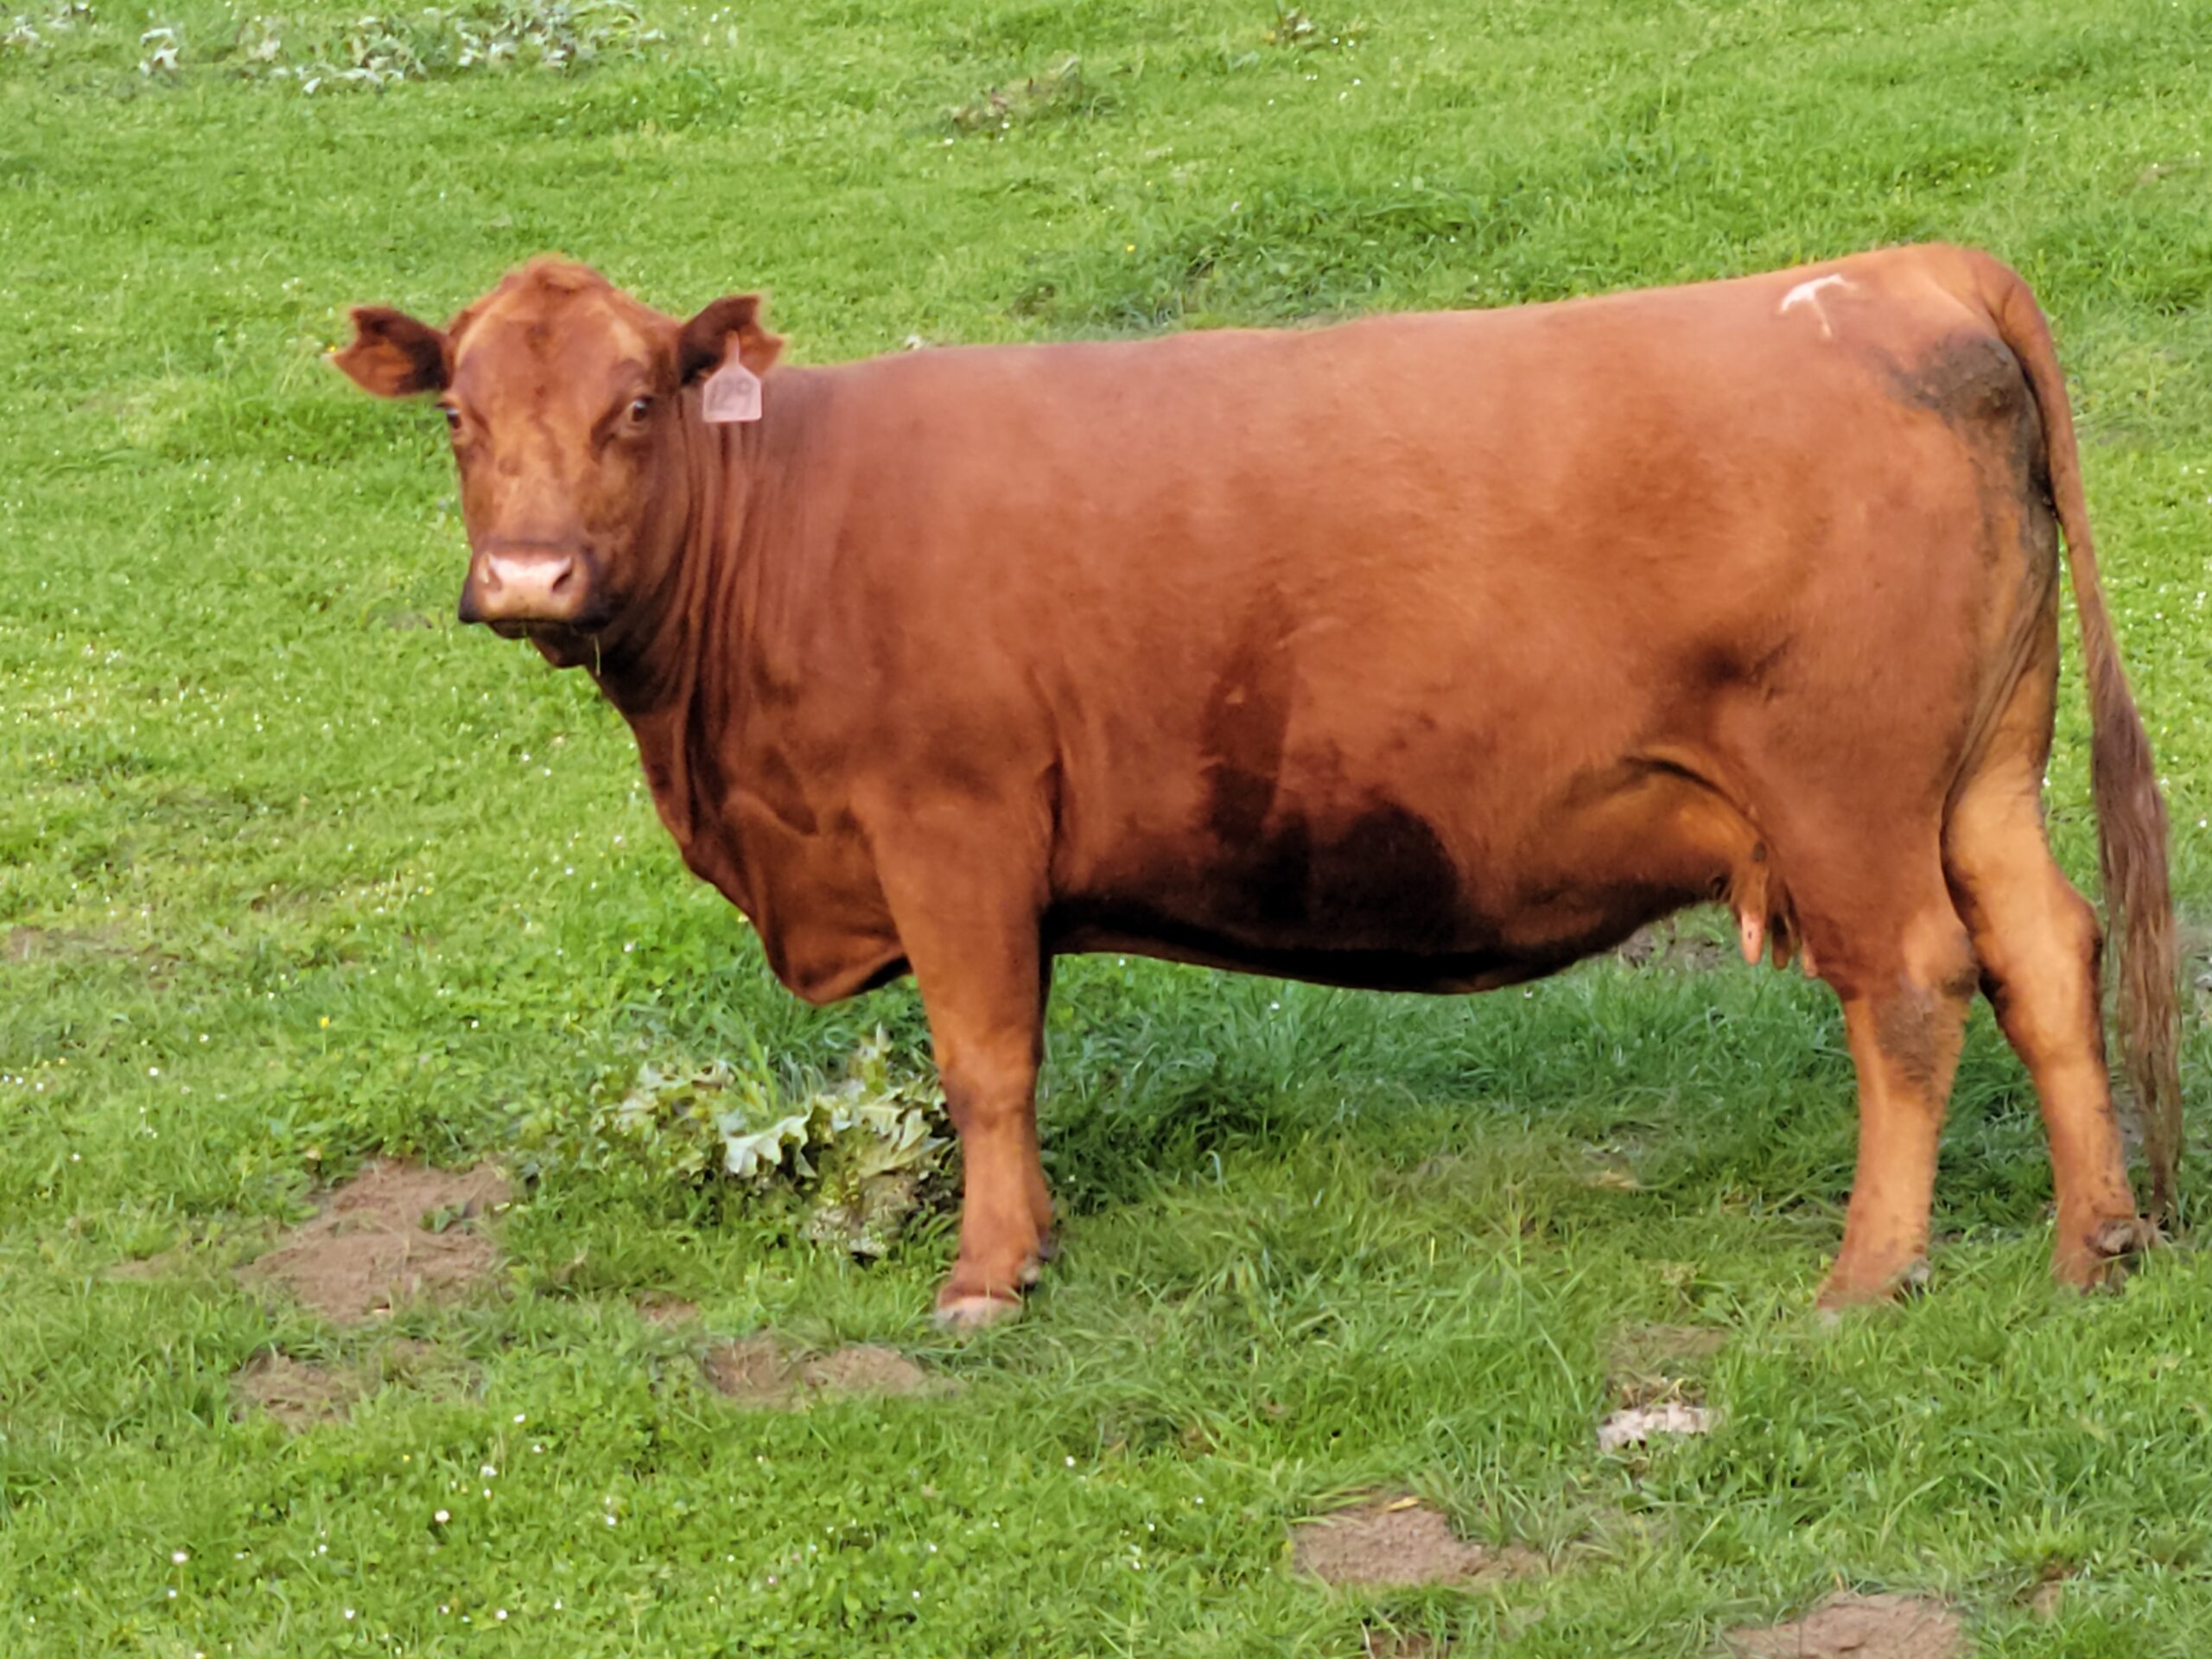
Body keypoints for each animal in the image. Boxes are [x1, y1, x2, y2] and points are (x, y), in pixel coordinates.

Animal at [335, 244, 2180, 1326]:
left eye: (637, 405)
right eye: (458, 419)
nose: (527, 577)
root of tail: (1894, 271)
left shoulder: (950, 824)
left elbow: (984, 1064)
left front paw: (988, 1278)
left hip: (1846, 794)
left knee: (1916, 988)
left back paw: (1871, 1272)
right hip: (1978, 776)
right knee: (2046, 956)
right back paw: (2096, 1243)